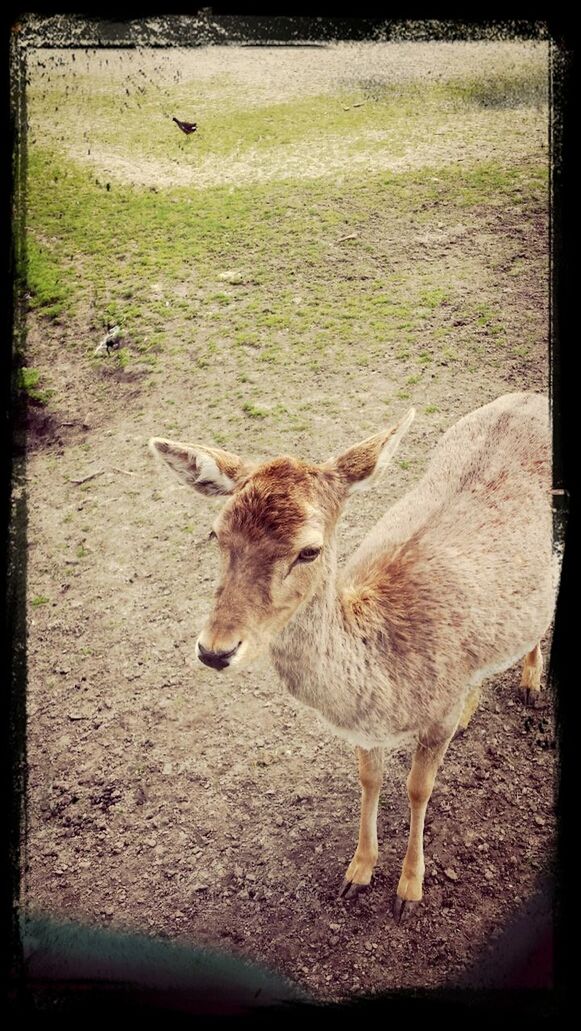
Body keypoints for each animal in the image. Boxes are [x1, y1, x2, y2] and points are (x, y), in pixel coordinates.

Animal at [148, 389, 552, 923]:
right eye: (217, 534)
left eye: (310, 550)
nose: (215, 649)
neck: (389, 685)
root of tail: (530, 396)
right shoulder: (366, 730)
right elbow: (370, 778)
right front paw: (357, 873)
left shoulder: (436, 715)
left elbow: (418, 788)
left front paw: (409, 890)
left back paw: (530, 682)